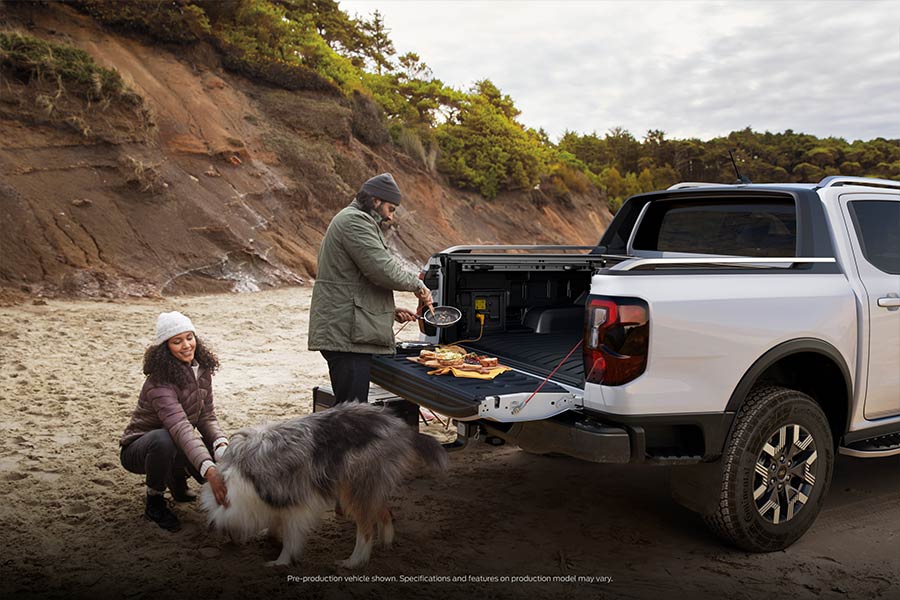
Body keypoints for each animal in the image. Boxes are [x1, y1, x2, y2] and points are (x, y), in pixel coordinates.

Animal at [200, 404, 446, 568]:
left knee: (366, 529)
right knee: (383, 511)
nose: (231, 542)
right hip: (368, 486)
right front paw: (272, 537)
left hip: (353, 489)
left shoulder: (295, 504)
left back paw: (353, 561)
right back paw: (385, 543)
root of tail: (400, 426)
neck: (239, 480)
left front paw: (280, 561)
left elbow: (291, 537)